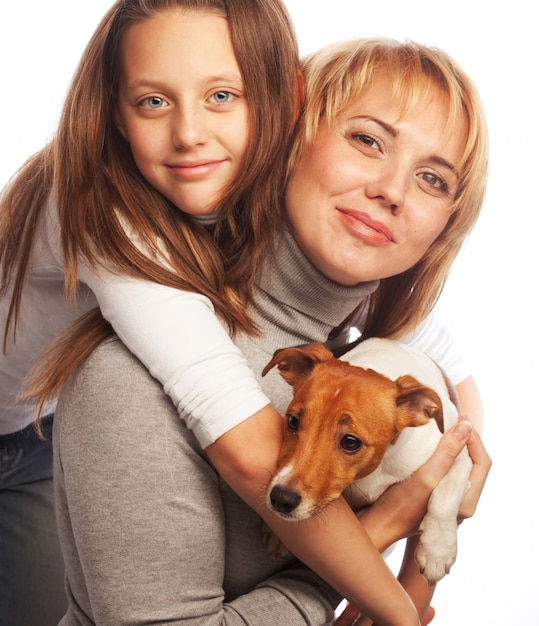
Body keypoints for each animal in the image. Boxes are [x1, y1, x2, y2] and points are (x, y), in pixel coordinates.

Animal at [262, 334, 472, 584]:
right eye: (293, 421)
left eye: (351, 442)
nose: (281, 499)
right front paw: (279, 536)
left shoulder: (460, 450)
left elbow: (446, 494)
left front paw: (437, 550)